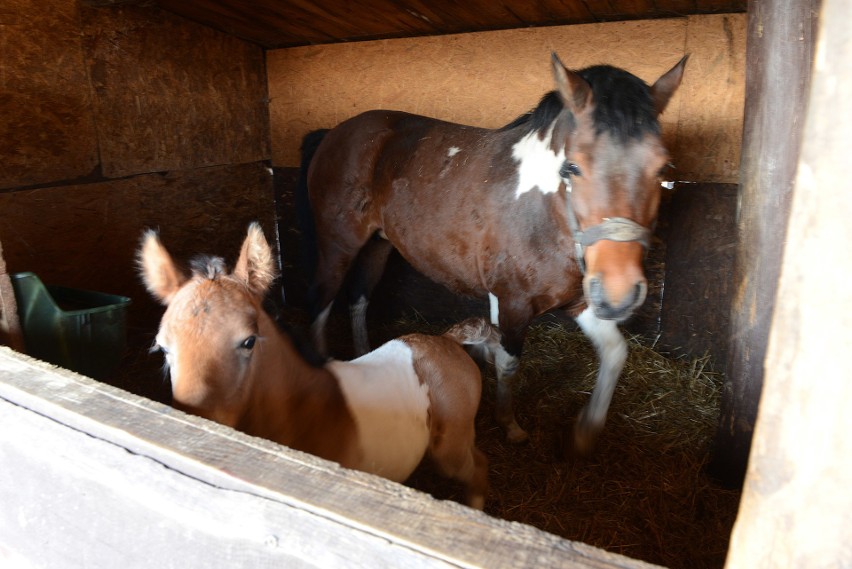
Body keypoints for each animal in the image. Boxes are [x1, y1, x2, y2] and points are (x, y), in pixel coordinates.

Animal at [141, 222, 492, 506]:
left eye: (249, 341)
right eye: (163, 347)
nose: (198, 426)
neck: (309, 412)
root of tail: (447, 340)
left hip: (451, 449)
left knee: (478, 467)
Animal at [298, 53, 684, 452]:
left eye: (663, 168)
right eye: (573, 167)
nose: (620, 295)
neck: (545, 211)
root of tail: (334, 133)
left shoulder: (581, 301)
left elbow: (615, 352)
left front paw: (586, 430)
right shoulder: (514, 303)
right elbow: (508, 363)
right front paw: (509, 425)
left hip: (378, 245)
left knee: (358, 298)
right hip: (338, 244)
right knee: (321, 299)